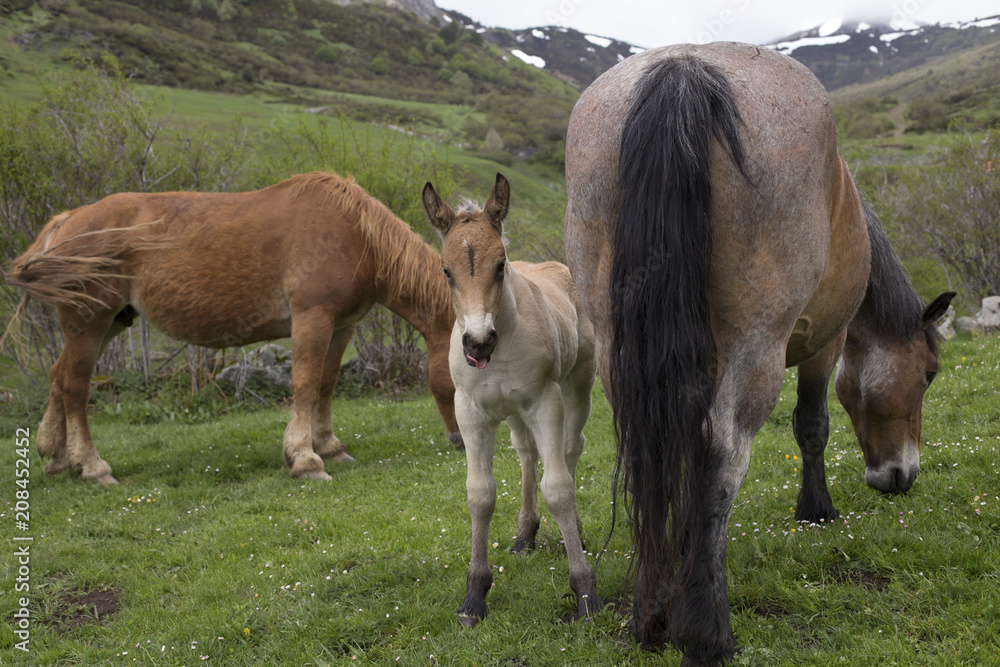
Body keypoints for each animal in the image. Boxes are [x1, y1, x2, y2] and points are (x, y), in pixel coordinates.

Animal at [6, 172, 463, 485]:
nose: (462, 442)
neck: (355, 235)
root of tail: (68, 221)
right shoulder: (311, 319)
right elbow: (304, 384)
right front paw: (304, 459)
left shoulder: (341, 327)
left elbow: (326, 385)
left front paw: (329, 446)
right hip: (89, 323)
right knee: (75, 388)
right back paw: (92, 466)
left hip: (108, 325)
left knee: (58, 377)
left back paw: (58, 456)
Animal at [421, 173, 602, 627]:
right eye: (445, 270)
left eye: (500, 265)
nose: (478, 343)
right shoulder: (469, 412)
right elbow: (480, 494)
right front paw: (474, 595)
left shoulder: (545, 401)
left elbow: (559, 487)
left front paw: (585, 592)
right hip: (515, 413)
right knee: (526, 453)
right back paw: (525, 534)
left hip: (577, 386)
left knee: (569, 451)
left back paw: (567, 531)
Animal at [563, 43, 954, 665]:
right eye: (929, 374)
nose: (900, 475)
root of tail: (685, 71)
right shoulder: (826, 342)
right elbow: (812, 425)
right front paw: (816, 509)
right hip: (757, 349)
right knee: (721, 453)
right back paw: (707, 632)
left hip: (615, 346)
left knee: (651, 447)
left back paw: (651, 613)